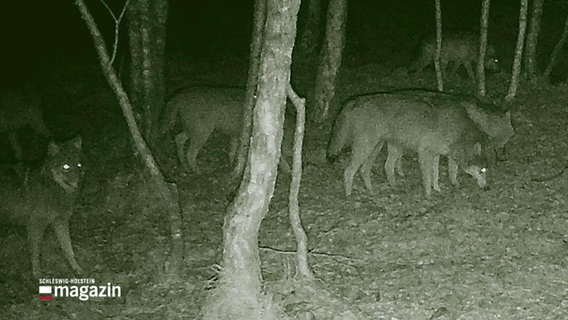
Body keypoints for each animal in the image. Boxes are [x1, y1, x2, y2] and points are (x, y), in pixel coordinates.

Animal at [0, 135, 84, 278]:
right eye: (66, 167)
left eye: (79, 165)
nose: (78, 183)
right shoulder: (35, 226)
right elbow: (35, 253)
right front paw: (37, 275)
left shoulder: (60, 221)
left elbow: (69, 249)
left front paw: (77, 269)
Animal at [160, 85, 292, 172]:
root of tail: (180, 95)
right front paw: (289, 172)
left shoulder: (235, 136)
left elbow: (232, 152)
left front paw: (231, 166)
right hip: (202, 133)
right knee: (190, 153)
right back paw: (195, 170)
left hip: (193, 130)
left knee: (178, 139)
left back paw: (184, 165)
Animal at [328, 92, 492, 198]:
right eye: (482, 171)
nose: (487, 188)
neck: (458, 131)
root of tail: (352, 101)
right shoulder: (424, 153)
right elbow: (428, 177)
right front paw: (428, 196)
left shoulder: (436, 155)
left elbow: (436, 175)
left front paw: (438, 189)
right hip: (366, 148)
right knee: (349, 171)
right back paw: (349, 196)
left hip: (376, 148)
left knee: (368, 170)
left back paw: (376, 191)